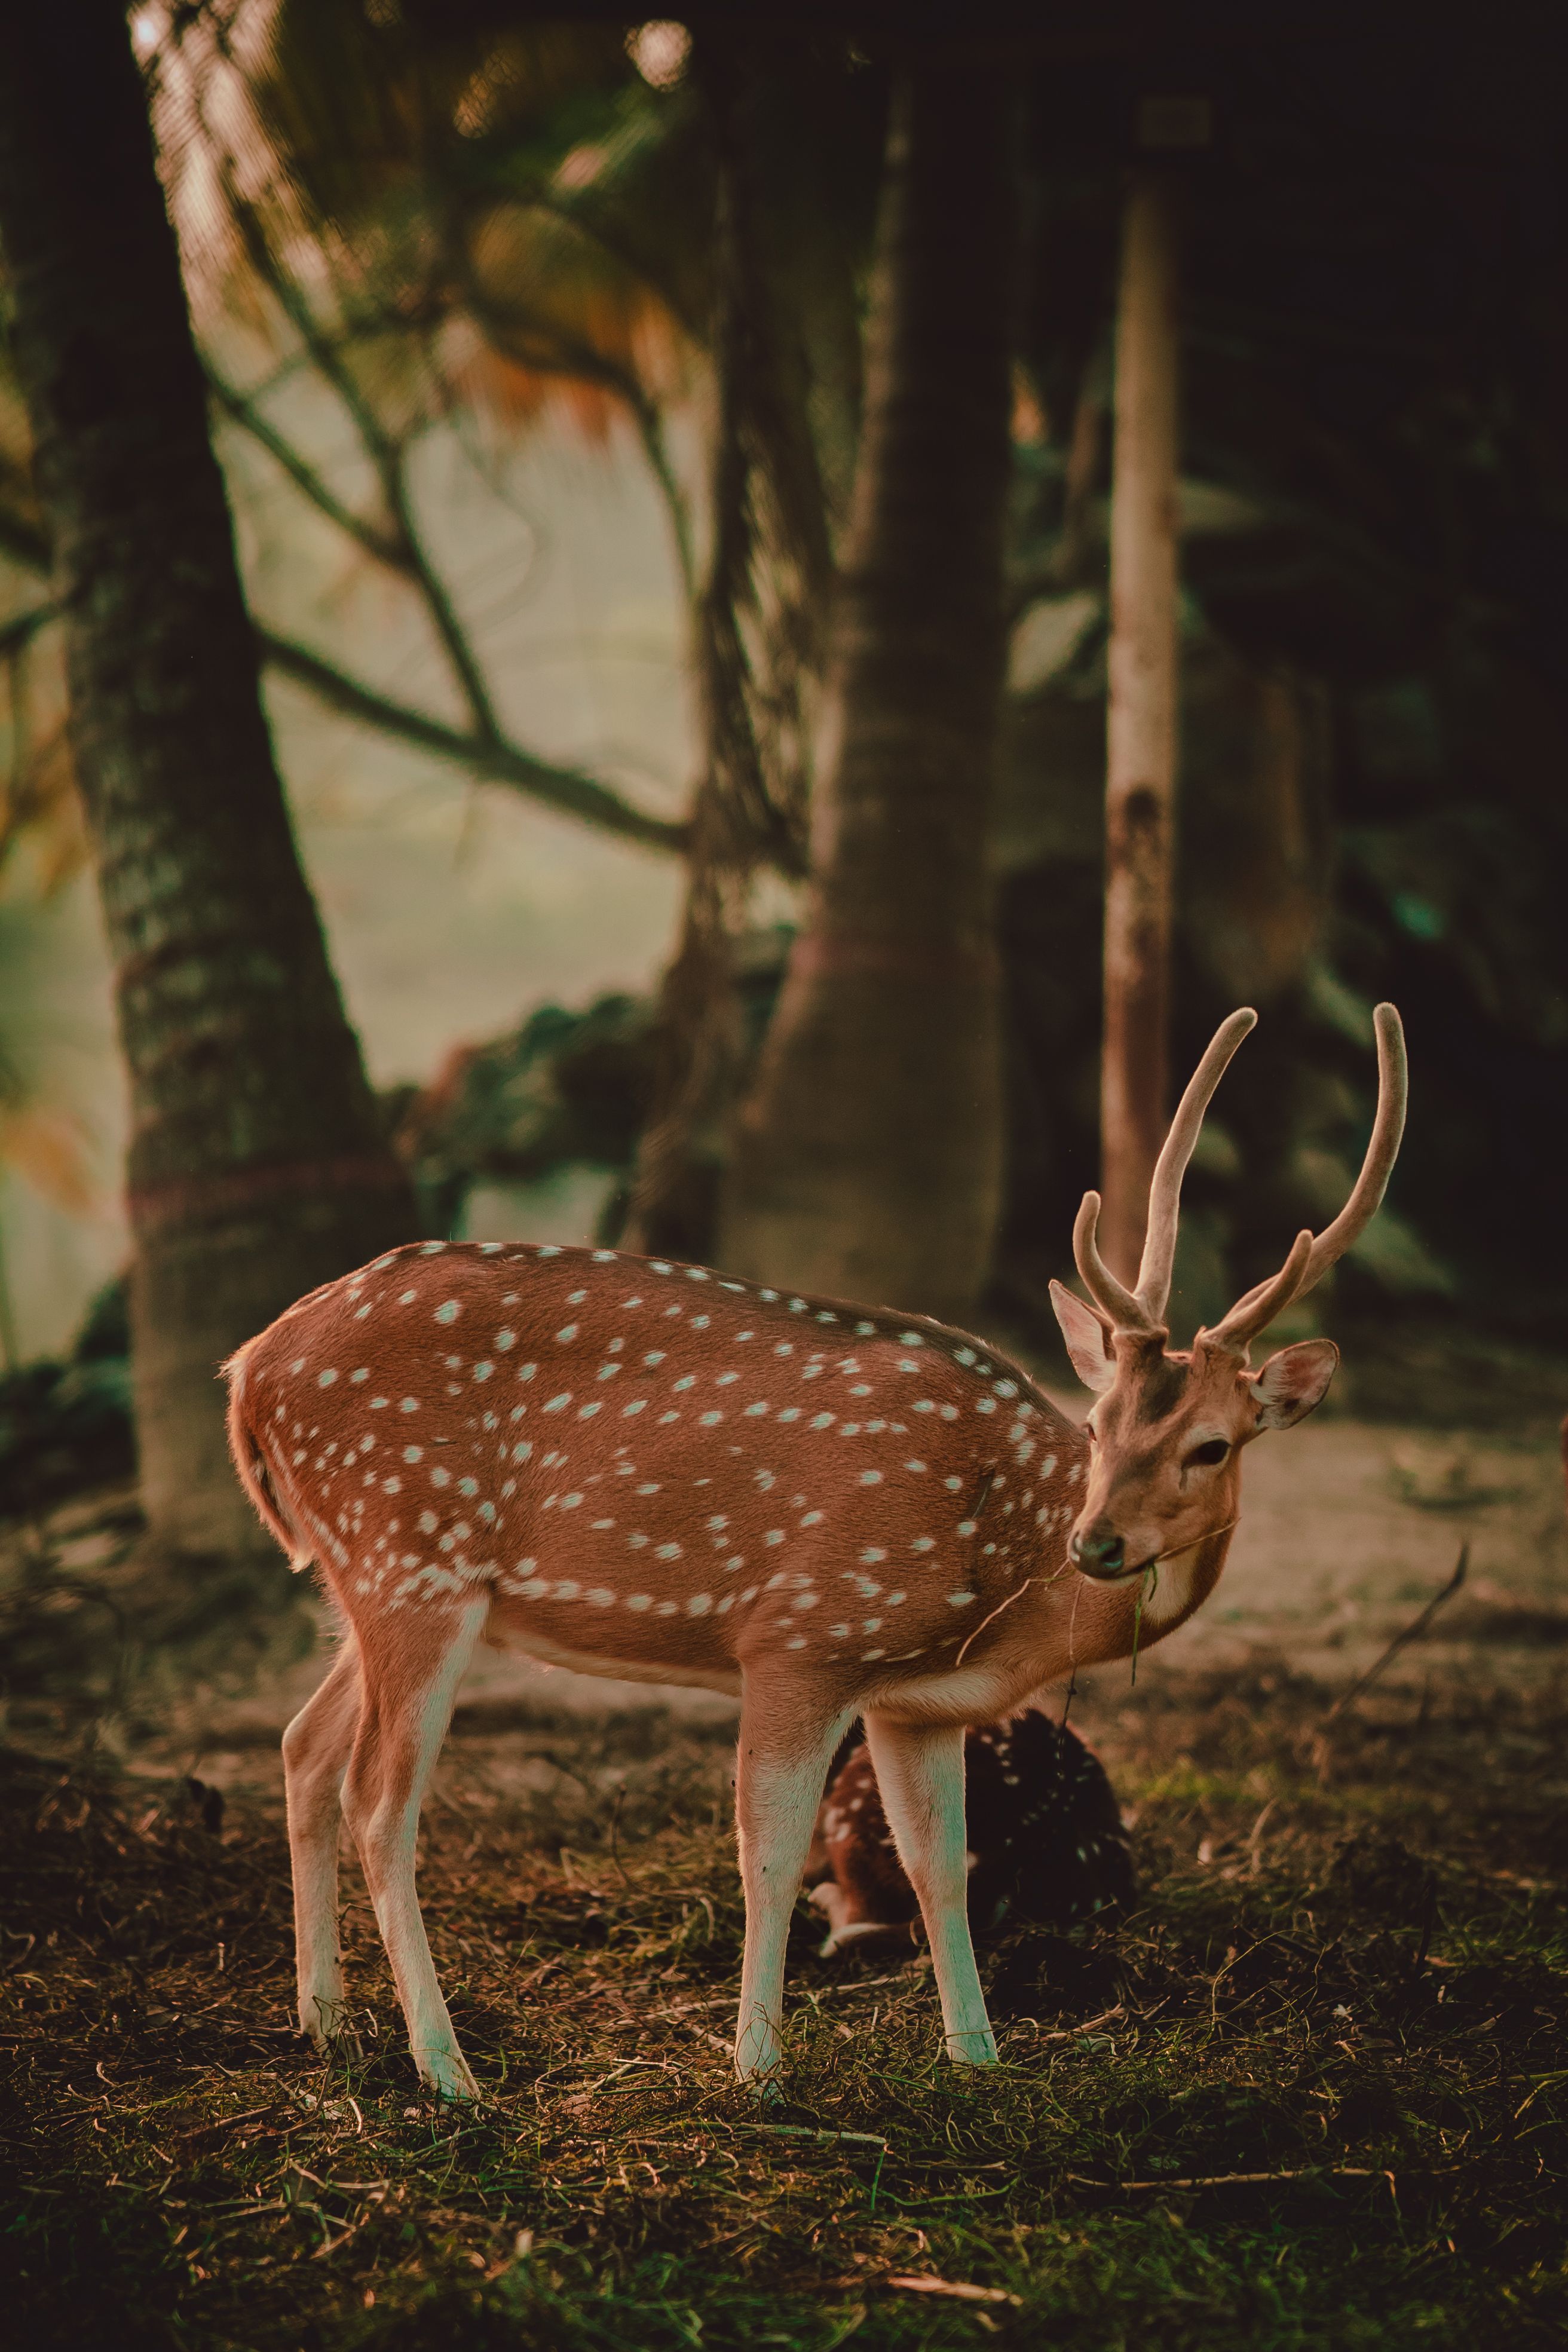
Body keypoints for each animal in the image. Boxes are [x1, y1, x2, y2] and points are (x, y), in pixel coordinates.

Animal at [224, 1000, 1405, 2101]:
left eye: (1211, 1444)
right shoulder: (804, 1634)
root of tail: (248, 1370)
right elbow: (770, 1853)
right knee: (379, 1798)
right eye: (1099, 1423)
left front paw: (977, 2059)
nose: (1098, 1541)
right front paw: (758, 2070)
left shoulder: (915, 1701)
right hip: (409, 1552)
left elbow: (940, 1866)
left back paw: (327, 2027)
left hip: (362, 1578)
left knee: (302, 1746)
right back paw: (448, 2070)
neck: (999, 1598)